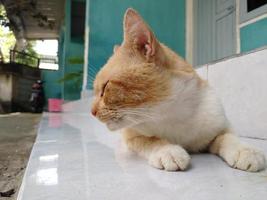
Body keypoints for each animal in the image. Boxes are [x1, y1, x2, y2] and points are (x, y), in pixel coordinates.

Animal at [91, 7, 266, 172]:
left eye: (105, 87)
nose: (92, 112)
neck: (171, 113)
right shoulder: (132, 137)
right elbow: (151, 140)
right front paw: (168, 151)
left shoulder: (220, 126)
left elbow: (229, 137)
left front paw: (245, 151)